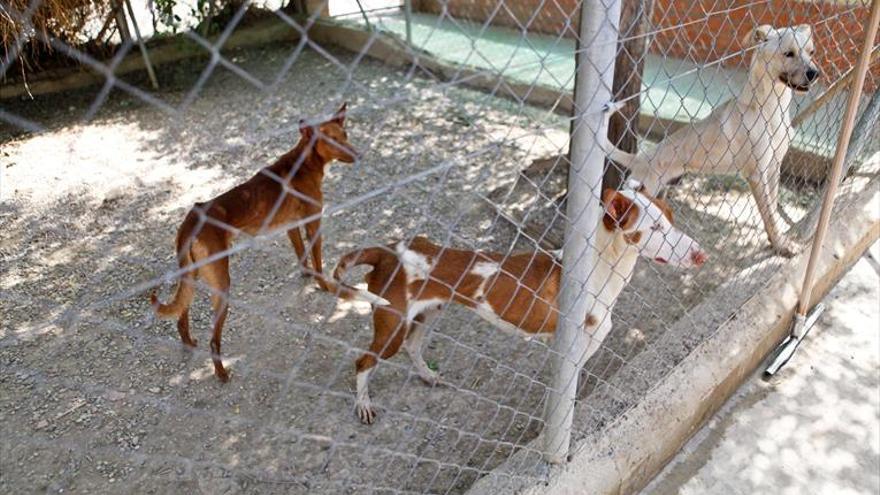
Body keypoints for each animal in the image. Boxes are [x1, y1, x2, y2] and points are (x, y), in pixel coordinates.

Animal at [151, 102, 358, 382]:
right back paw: (221, 373)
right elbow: (317, 262)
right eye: (332, 141)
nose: (359, 154)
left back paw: (189, 343)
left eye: (345, 135)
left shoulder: (291, 226)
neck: (303, 162)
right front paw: (325, 286)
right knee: (213, 339)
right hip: (221, 284)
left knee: (181, 315)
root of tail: (192, 220)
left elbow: (301, 255)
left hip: (191, 275)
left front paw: (305, 275)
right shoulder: (313, 222)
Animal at [330, 184, 708, 424]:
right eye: (655, 228)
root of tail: (386, 250)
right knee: (363, 361)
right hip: (391, 323)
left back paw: (427, 375)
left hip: (429, 313)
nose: (701, 255)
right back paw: (363, 404)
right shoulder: (573, 347)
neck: (598, 268)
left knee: (413, 346)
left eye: (670, 218)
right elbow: (564, 391)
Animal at [600, 23, 820, 258]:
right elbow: (769, 213)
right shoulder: (757, 174)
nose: (815, 73)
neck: (768, 108)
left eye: (811, 52)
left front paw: (776, 240)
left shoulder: (773, 167)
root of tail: (642, 157)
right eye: (789, 53)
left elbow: (773, 208)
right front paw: (781, 244)